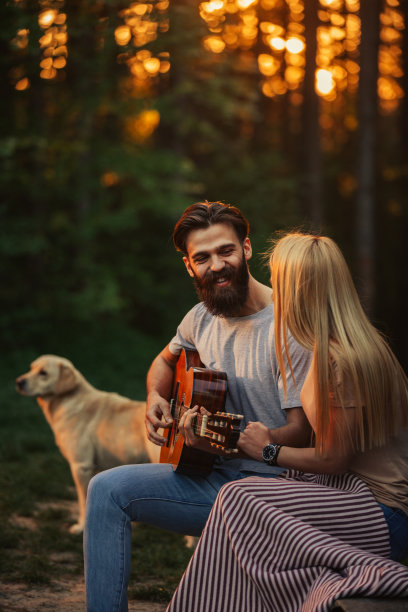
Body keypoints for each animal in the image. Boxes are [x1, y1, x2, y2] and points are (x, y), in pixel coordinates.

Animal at [15, 354, 160, 536]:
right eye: (31, 368)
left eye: (43, 373)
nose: (19, 382)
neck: (67, 400)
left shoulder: (80, 466)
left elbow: (82, 501)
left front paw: (80, 528)